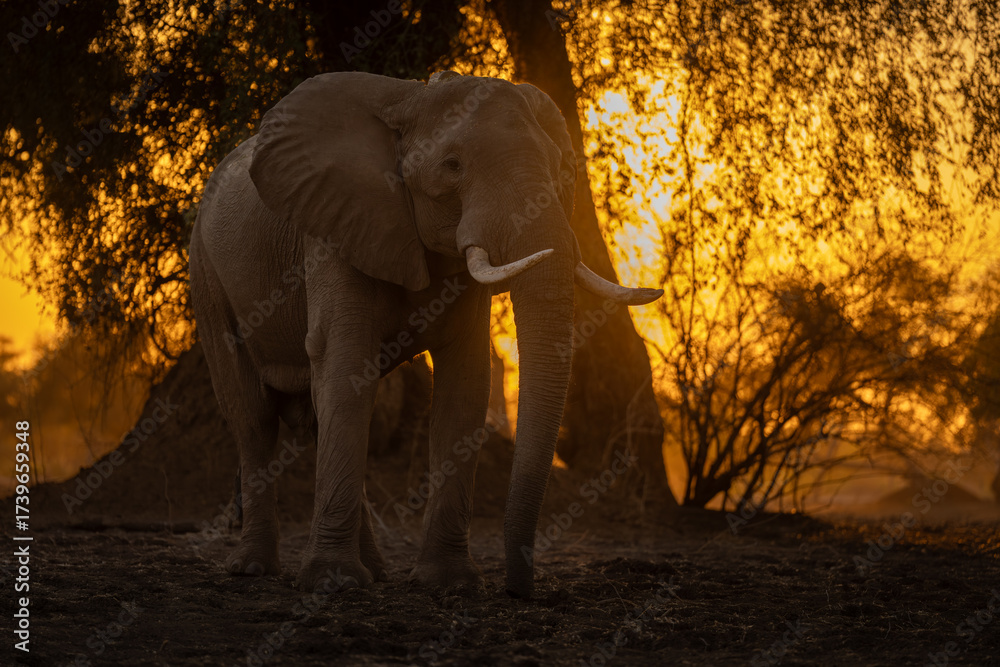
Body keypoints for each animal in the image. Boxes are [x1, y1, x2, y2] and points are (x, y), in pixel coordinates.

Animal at [188, 69, 662, 599]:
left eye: (560, 166)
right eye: (451, 167)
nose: (517, 589)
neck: (411, 97)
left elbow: (465, 385)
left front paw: (451, 583)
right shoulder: (334, 224)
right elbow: (345, 365)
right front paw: (332, 583)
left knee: (314, 414)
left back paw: (375, 572)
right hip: (206, 274)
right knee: (252, 416)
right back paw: (255, 569)